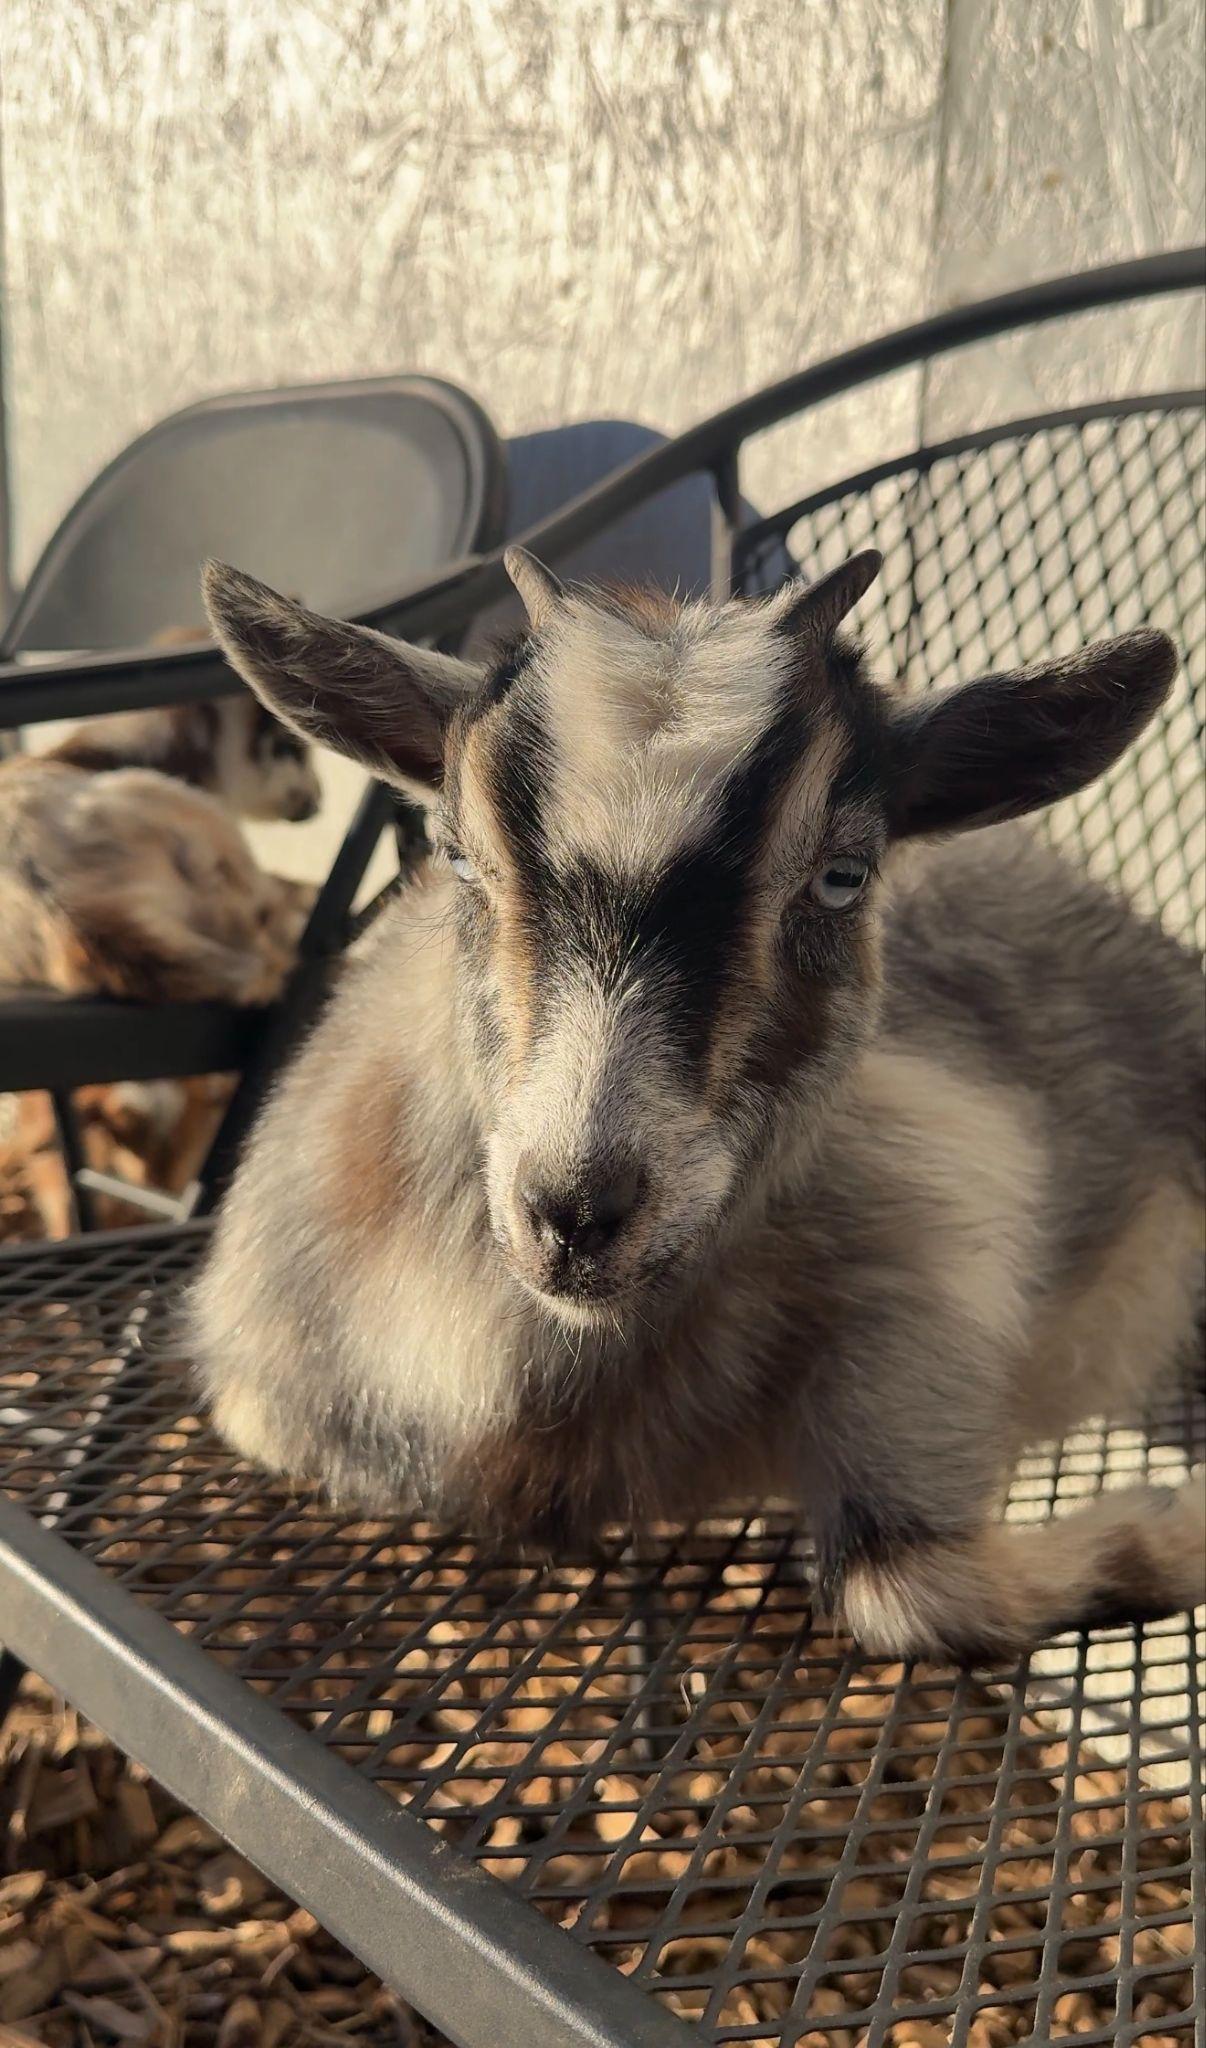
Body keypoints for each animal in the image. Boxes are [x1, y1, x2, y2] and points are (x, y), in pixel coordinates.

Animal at [191, 548, 1205, 1664]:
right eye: (455, 855)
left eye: (844, 876)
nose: (575, 1213)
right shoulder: (265, 1392)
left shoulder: (943, 1243)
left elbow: (903, 1587)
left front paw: (1177, 1521)